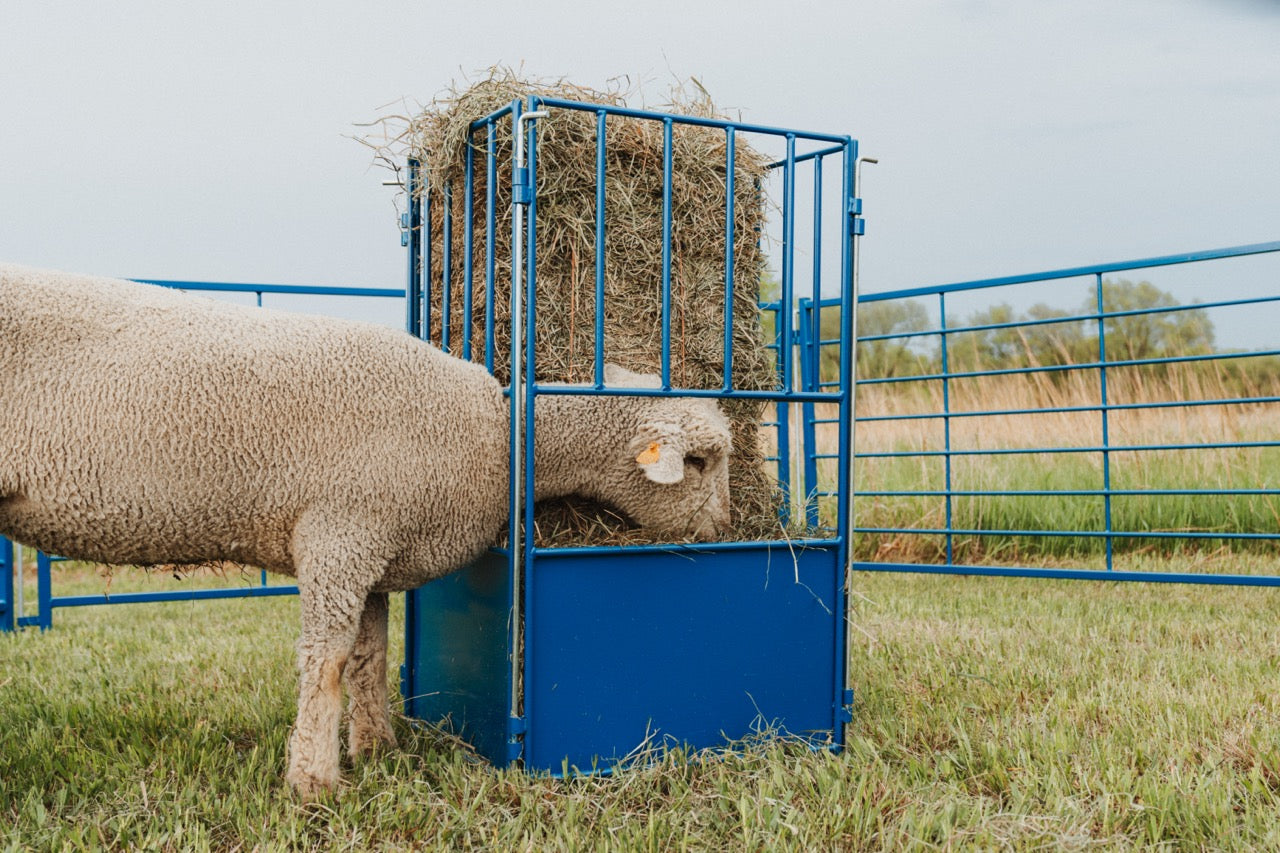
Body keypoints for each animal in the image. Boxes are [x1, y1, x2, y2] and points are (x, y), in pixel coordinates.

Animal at [0, 264, 733, 797]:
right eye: (700, 461)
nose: (727, 525)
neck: (498, 434)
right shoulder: (339, 532)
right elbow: (324, 661)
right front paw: (314, 782)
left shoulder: (378, 546)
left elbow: (369, 655)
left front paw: (379, 750)